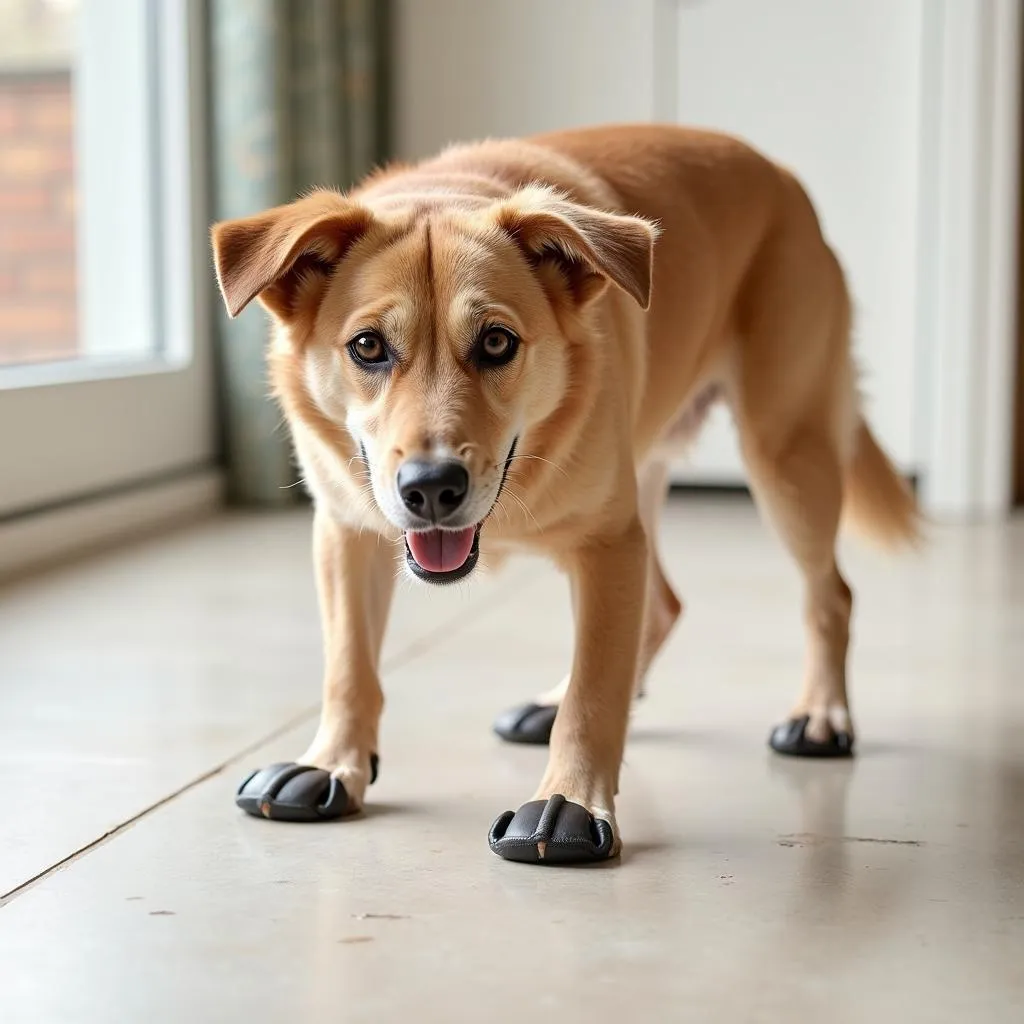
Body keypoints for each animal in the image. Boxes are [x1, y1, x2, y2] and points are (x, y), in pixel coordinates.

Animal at [211, 123, 917, 868]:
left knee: (829, 597)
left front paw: (568, 801)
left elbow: (595, 695)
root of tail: (780, 174)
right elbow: (348, 666)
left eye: (497, 342)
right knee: (661, 606)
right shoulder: (348, 532)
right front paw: (331, 762)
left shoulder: (607, 543)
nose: (432, 488)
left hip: (785, 455)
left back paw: (821, 717)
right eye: (368, 347)